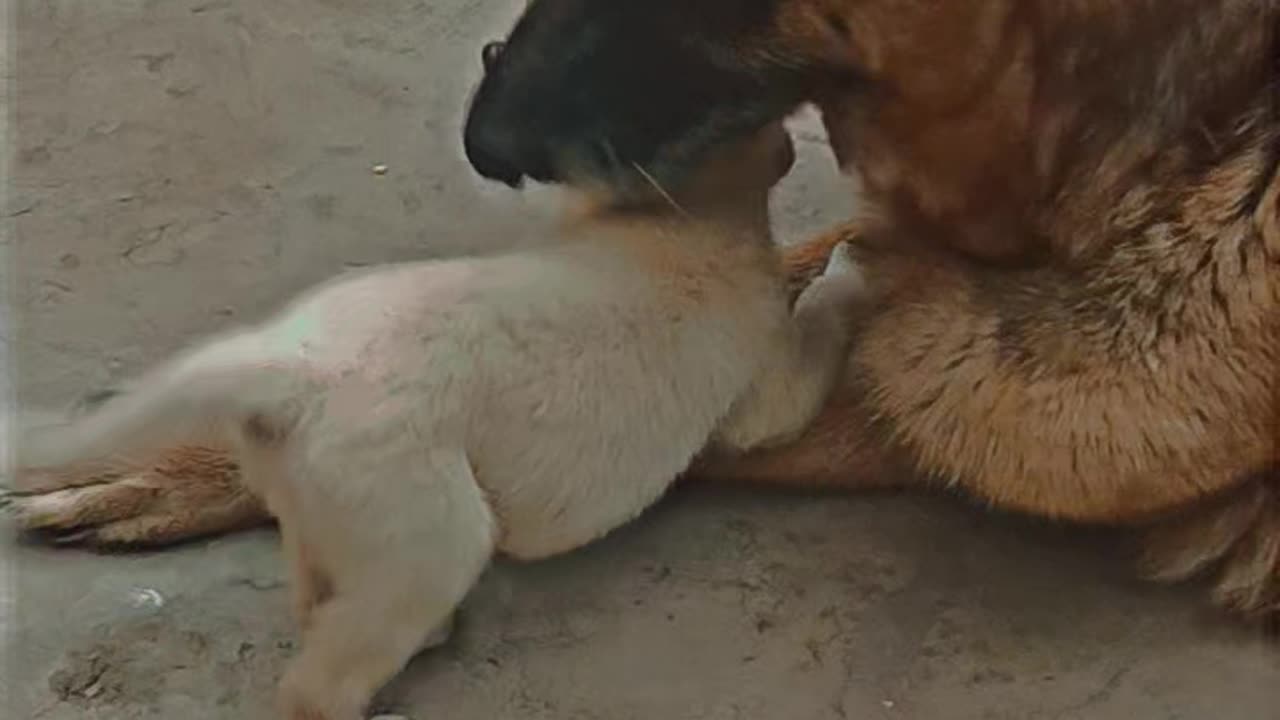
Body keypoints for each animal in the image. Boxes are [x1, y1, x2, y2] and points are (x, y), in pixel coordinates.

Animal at [12, 120, 860, 712]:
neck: (683, 220)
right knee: (320, 684)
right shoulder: (759, 378)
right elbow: (796, 373)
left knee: (321, 597)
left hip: (316, 494)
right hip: (423, 519)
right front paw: (851, 271)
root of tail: (291, 368)